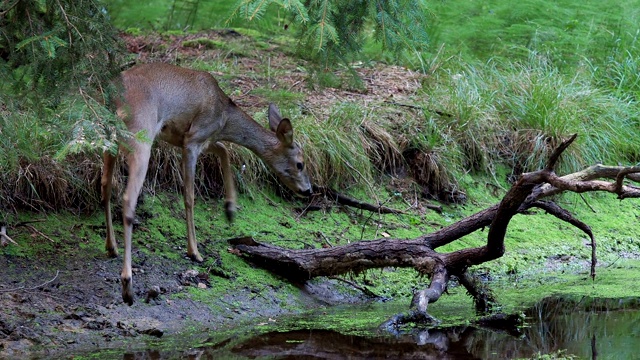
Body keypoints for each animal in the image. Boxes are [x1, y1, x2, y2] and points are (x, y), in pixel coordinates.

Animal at [101, 63, 312, 306]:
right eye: (300, 164)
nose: (309, 190)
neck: (224, 116)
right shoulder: (193, 138)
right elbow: (189, 196)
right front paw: (194, 251)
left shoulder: (187, 137)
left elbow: (224, 150)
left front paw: (230, 209)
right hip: (140, 134)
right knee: (128, 199)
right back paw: (127, 285)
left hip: (108, 138)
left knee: (105, 186)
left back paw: (112, 246)